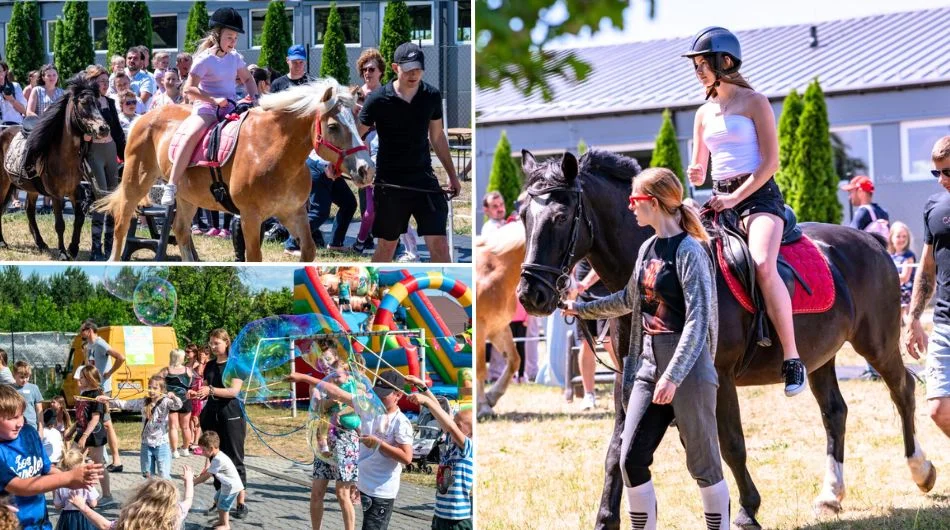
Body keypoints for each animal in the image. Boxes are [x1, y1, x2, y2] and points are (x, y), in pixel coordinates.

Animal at [95, 78, 374, 260]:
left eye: (356, 119)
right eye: (333, 126)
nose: (366, 169)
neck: (274, 152)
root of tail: (143, 118)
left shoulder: (292, 213)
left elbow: (307, 250)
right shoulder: (250, 216)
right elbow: (253, 256)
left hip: (187, 198)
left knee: (181, 231)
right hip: (135, 181)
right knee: (121, 224)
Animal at [476, 220, 528, 416]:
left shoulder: (498, 328)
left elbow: (514, 360)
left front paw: (491, 397)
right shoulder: (480, 329)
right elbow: (480, 368)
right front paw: (483, 407)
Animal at [512, 148, 936, 528]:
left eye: (561, 216)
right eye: (524, 217)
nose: (531, 295)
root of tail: (872, 243)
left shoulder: (719, 376)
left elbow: (730, 444)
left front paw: (748, 509)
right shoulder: (628, 380)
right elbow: (619, 450)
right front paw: (605, 519)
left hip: (877, 343)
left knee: (902, 389)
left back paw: (921, 470)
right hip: (820, 357)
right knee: (835, 412)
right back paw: (831, 495)